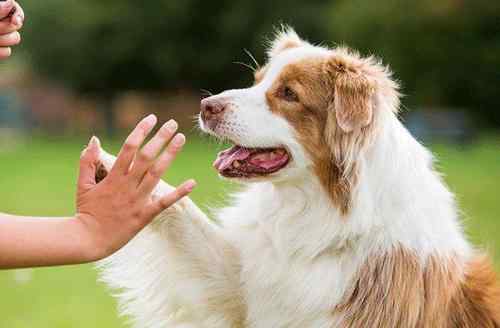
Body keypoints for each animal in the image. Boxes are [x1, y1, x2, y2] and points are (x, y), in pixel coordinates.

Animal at [94, 28, 500, 328]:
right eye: (256, 81)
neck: (317, 210)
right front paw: (117, 173)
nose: (206, 106)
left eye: (289, 94)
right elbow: (185, 217)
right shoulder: (244, 289)